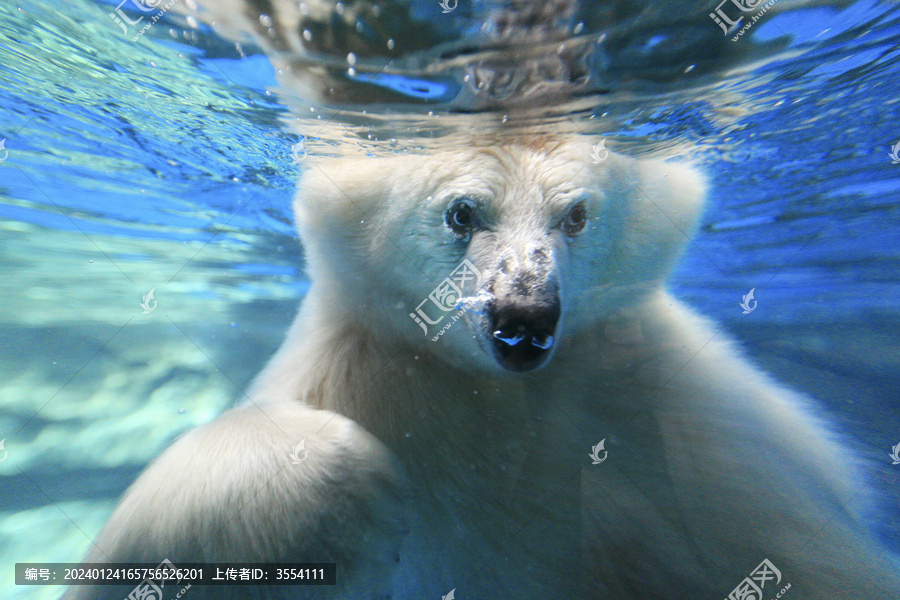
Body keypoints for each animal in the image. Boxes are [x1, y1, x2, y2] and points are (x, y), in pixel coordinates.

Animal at [68, 139, 900, 600]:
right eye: (463, 212)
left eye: (576, 214)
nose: (524, 317)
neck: (498, 395)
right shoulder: (365, 373)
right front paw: (342, 497)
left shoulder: (670, 414)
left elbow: (802, 558)